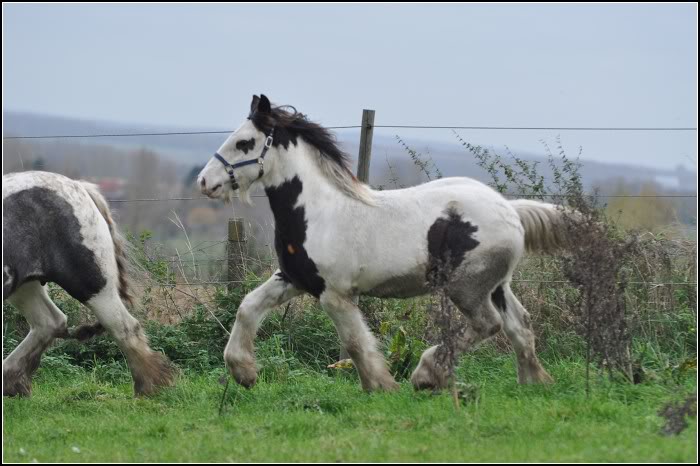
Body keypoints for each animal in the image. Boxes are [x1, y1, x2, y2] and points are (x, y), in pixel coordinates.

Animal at [2, 171, 174, 396]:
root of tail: (79, 186)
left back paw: (148, 387)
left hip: (92, 286)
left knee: (125, 327)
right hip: (24, 286)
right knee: (49, 322)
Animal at [198, 95, 568, 394]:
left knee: (487, 325)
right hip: (497, 286)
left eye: (245, 142)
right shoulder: (293, 279)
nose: (205, 182)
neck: (318, 212)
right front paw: (244, 372)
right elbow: (247, 306)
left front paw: (380, 385)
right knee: (520, 325)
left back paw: (427, 376)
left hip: (467, 288)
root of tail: (510, 210)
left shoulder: (335, 294)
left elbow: (355, 343)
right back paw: (533, 383)